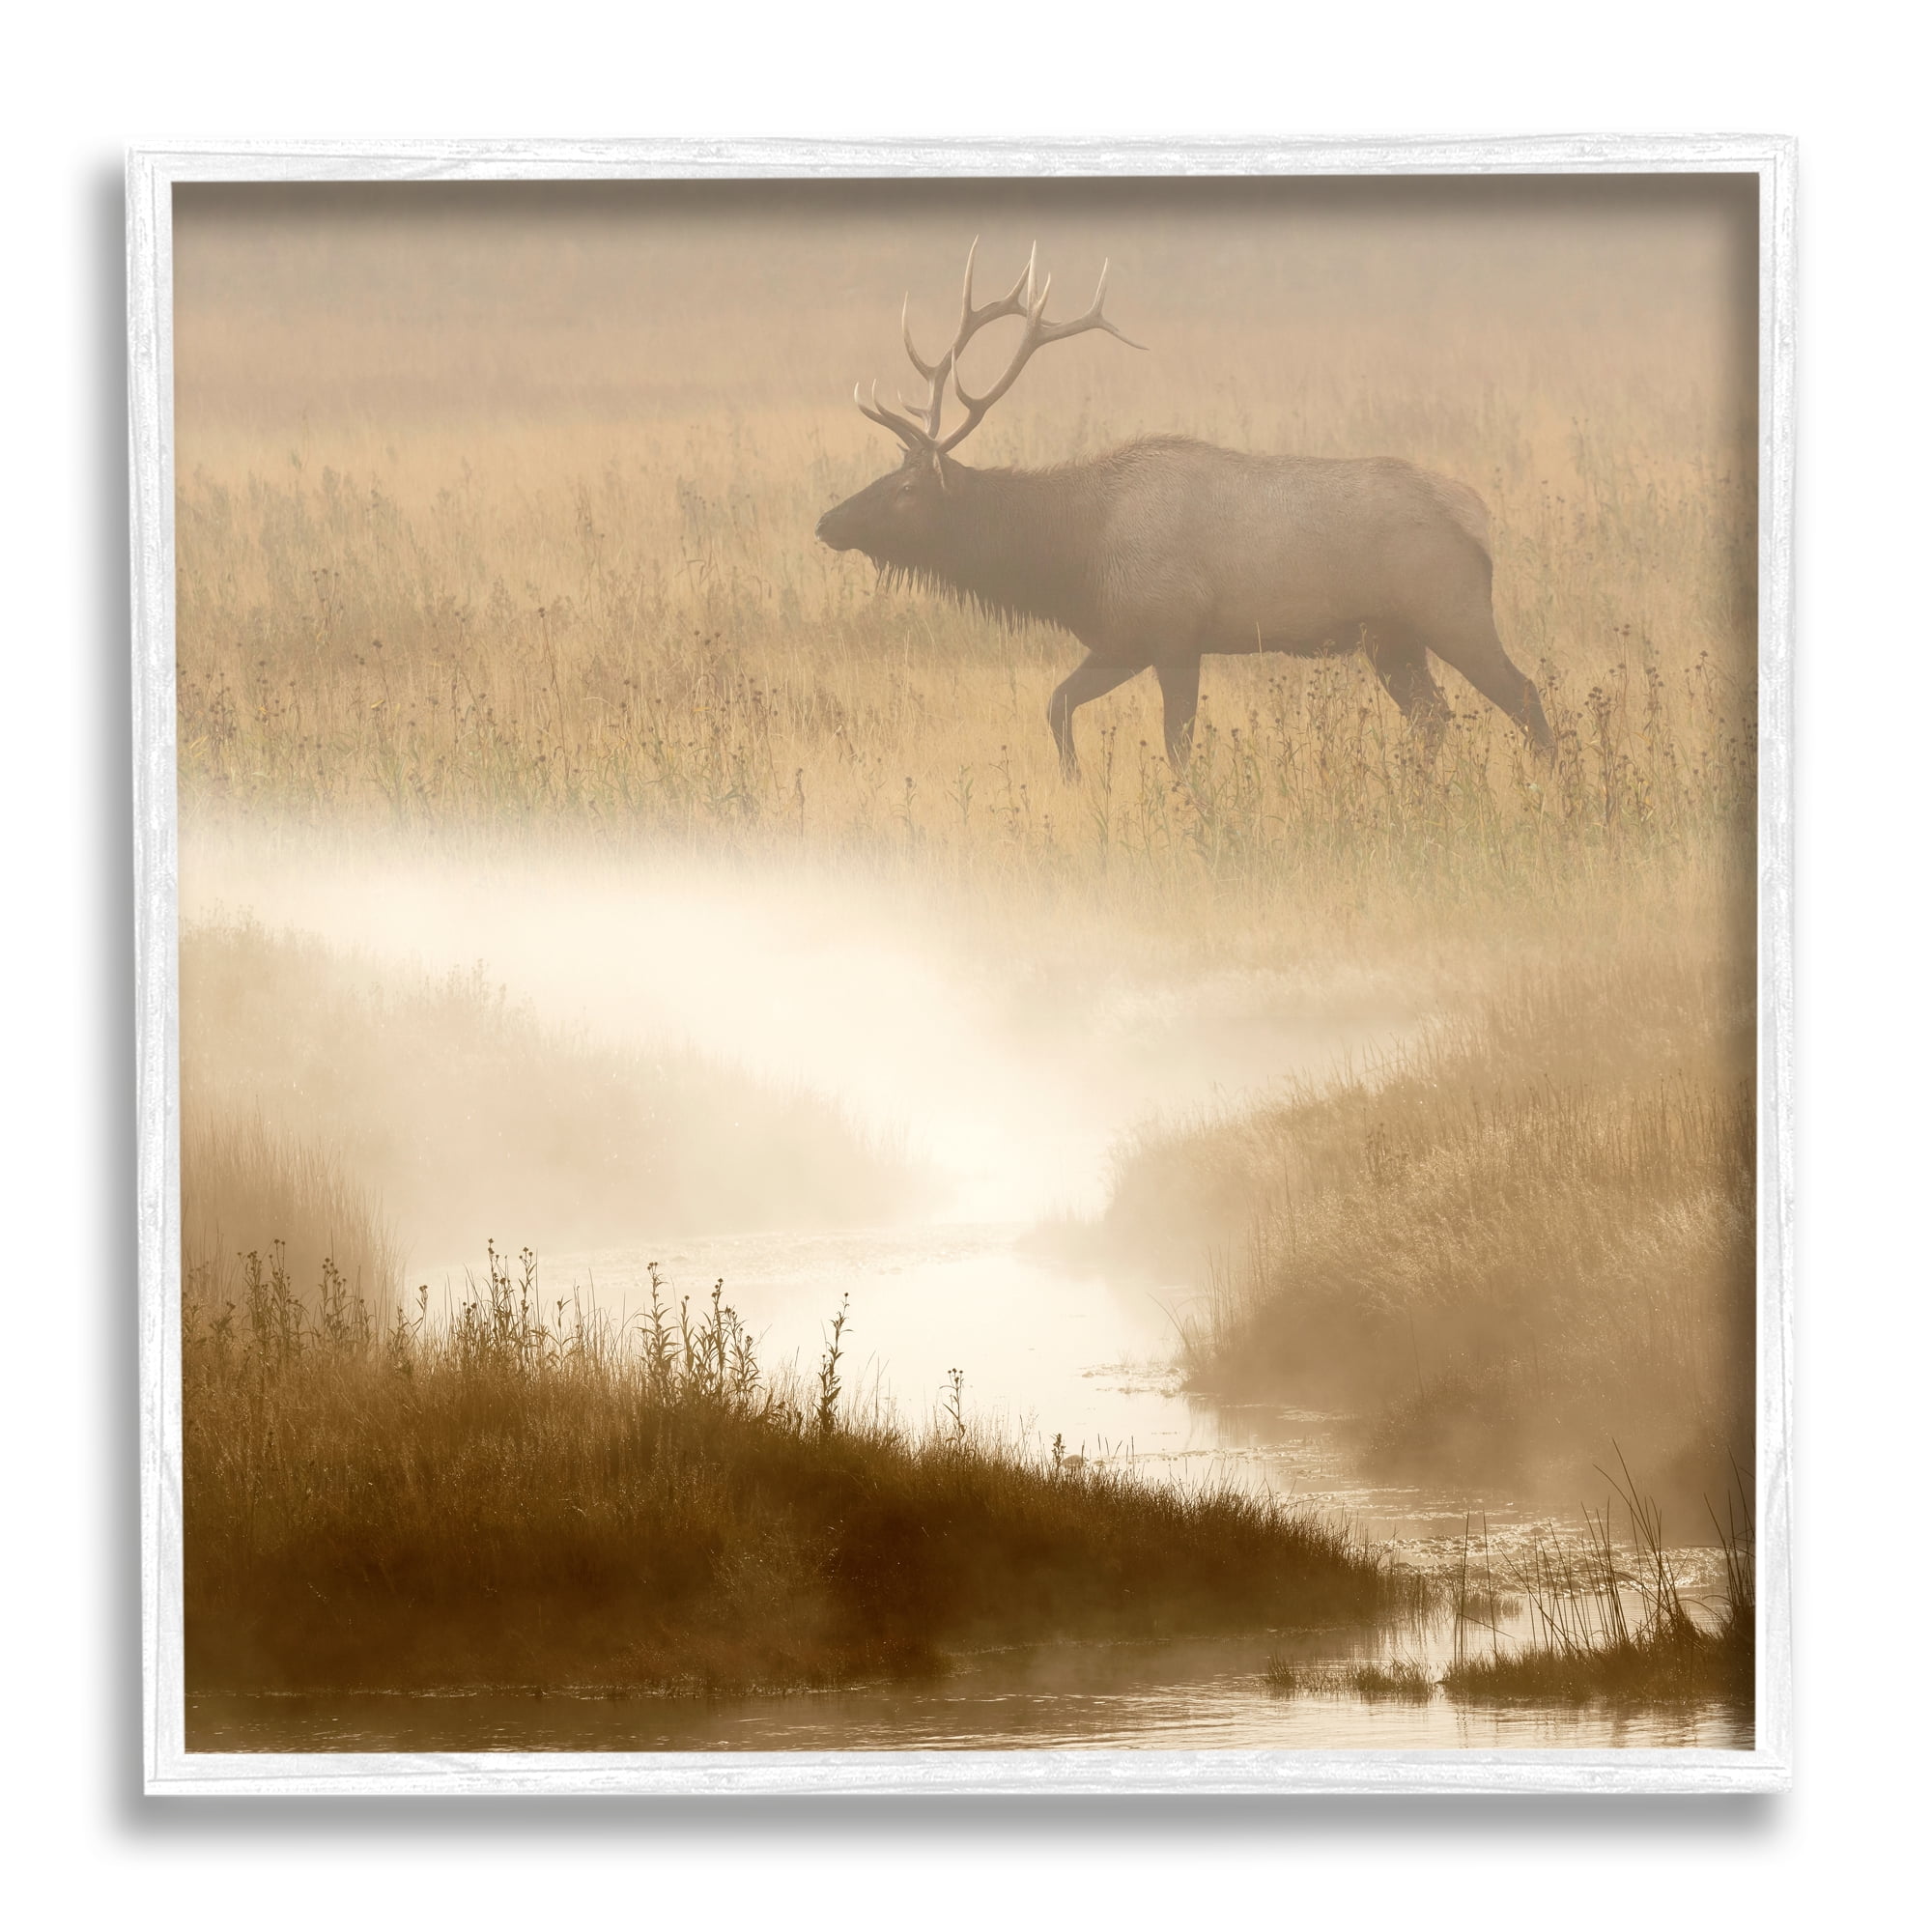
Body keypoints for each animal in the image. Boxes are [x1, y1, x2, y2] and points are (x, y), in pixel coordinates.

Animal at [814, 242, 1555, 777]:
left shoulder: (1173, 630)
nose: (825, 522)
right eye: (891, 473)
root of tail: (1478, 517)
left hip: (1451, 609)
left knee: (1524, 697)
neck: (1072, 559)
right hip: (1391, 638)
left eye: (907, 489)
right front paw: (1077, 782)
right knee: (1434, 720)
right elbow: (1056, 705)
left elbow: (1177, 744)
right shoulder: (1121, 637)